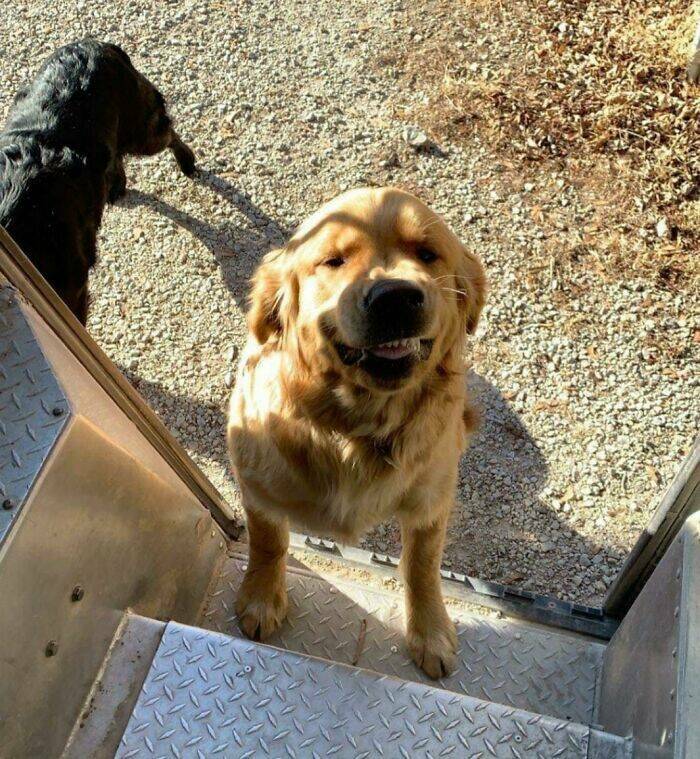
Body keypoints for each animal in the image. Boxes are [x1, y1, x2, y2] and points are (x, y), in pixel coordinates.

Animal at [0, 39, 194, 324]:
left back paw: (187, 161)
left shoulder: (72, 291)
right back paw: (117, 183)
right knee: (116, 155)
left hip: (143, 130)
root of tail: (94, 43)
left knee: (168, 132)